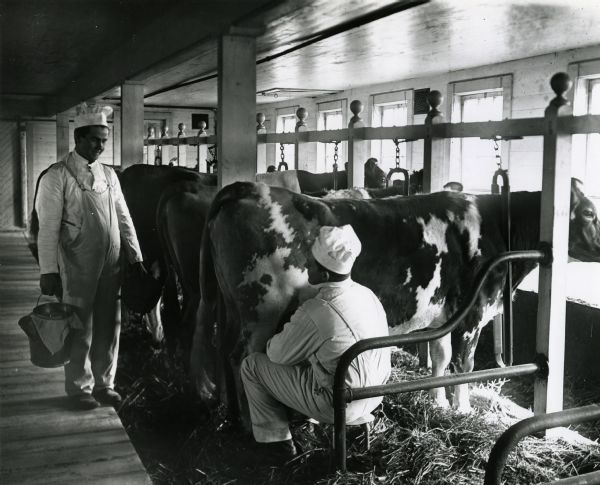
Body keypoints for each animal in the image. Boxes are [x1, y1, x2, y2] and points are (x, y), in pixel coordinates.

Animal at [191, 180, 600, 414]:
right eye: (589, 212)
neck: (497, 229)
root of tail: (248, 188)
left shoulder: (441, 315)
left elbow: (440, 358)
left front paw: (438, 403)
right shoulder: (472, 314)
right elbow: (464, 366)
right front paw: (463, 410)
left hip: (231, 306)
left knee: (221, 348)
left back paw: (225, 411)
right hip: (264, 308)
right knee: (242, 358)